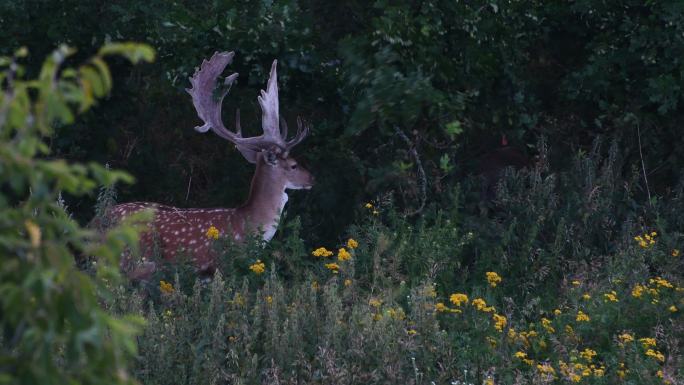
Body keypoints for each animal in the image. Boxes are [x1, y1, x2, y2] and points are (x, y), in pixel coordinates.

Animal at [108, 51, 314, 280]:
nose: (312, 178)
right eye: (294, 165)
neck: (246, 225)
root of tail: (98, 220)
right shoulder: (222, 264)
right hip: (127, 260)